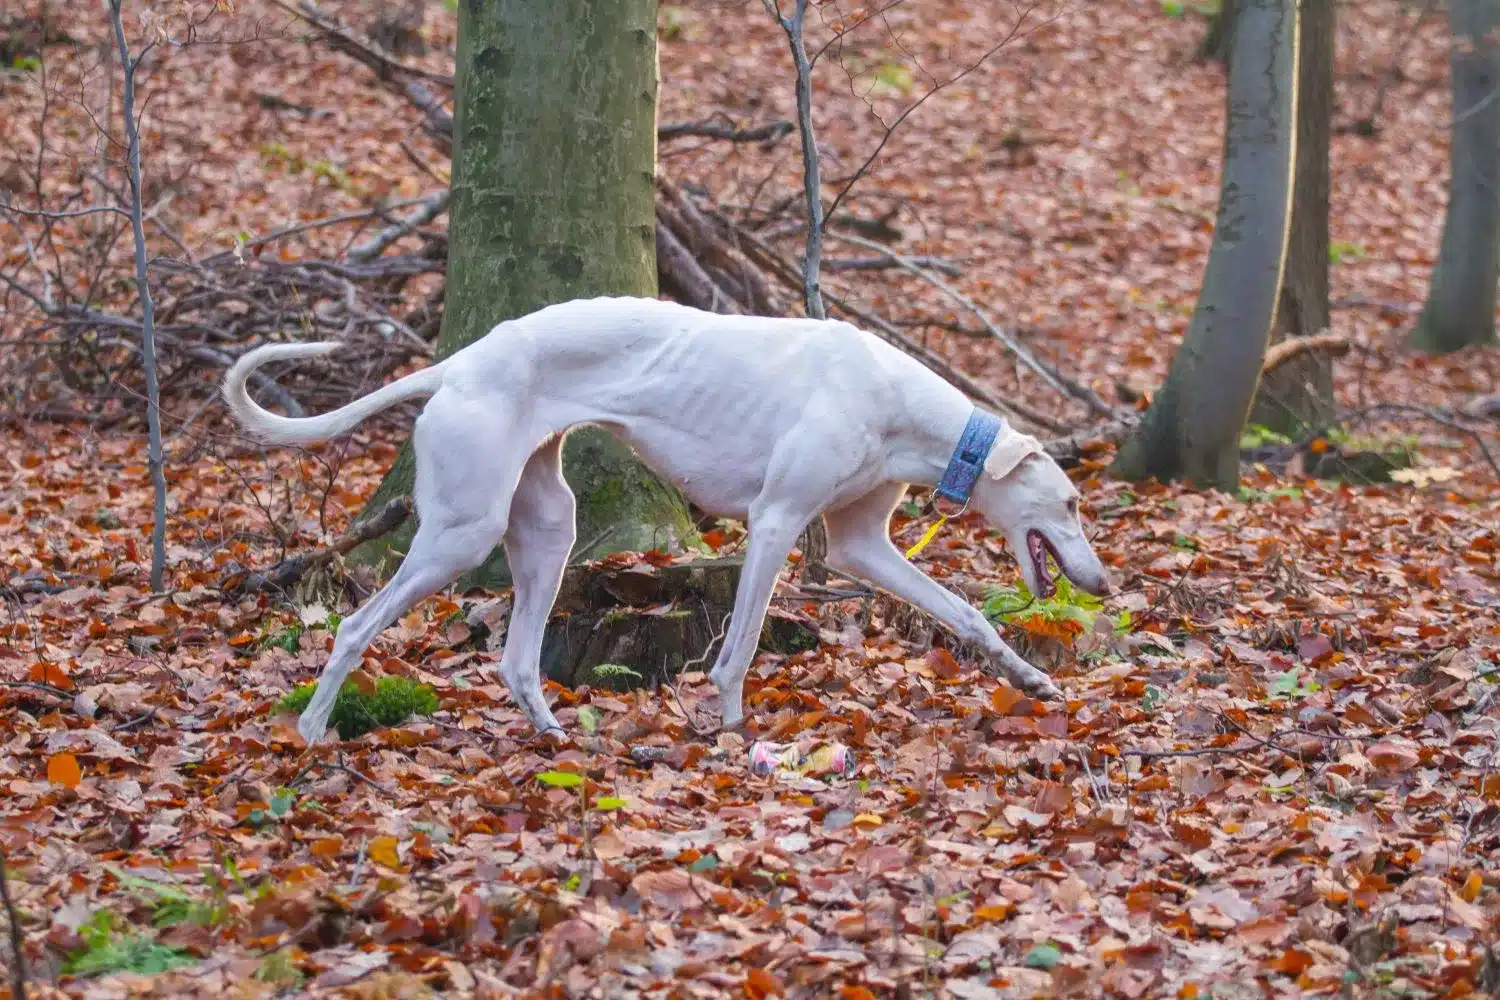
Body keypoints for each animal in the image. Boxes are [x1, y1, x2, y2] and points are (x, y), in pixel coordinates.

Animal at [225, 296, 1116, 743]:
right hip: (460, 532)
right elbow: (742, 646)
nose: (1104, 585)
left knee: (515, 659)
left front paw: (1030, 678)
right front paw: (733, 730)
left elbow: (967, 613)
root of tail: (462, 361)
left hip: (547, 529)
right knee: (353, 625)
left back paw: (556, 736)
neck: (898, 405)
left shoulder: (863, 546)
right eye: (1071, 503)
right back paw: (312, 728)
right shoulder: (776, 521)